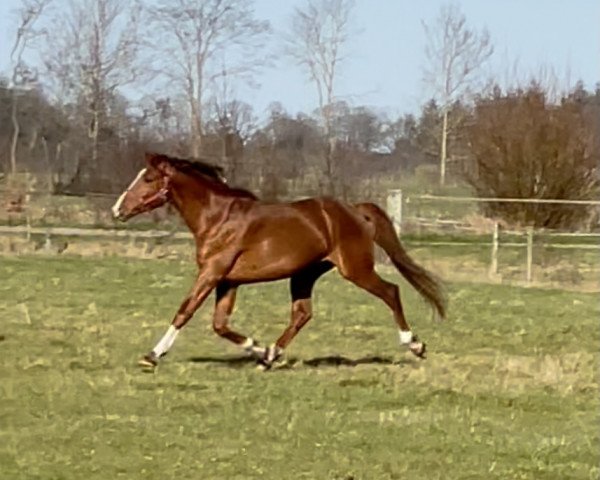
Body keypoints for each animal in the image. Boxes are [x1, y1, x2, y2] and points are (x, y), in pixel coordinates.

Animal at [112, 152, 446, 370]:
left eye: (149, 178)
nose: (117, 210)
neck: (218, 218)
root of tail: (354, 210)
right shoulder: (228, 281)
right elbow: (220, 324)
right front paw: (258, 349)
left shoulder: (211, 273)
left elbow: (185, 311)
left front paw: (152, 356)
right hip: (305, 274)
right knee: (302, 313)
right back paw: (271, 355)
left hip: (355, 269)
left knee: (391, 292)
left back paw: (415, 344)